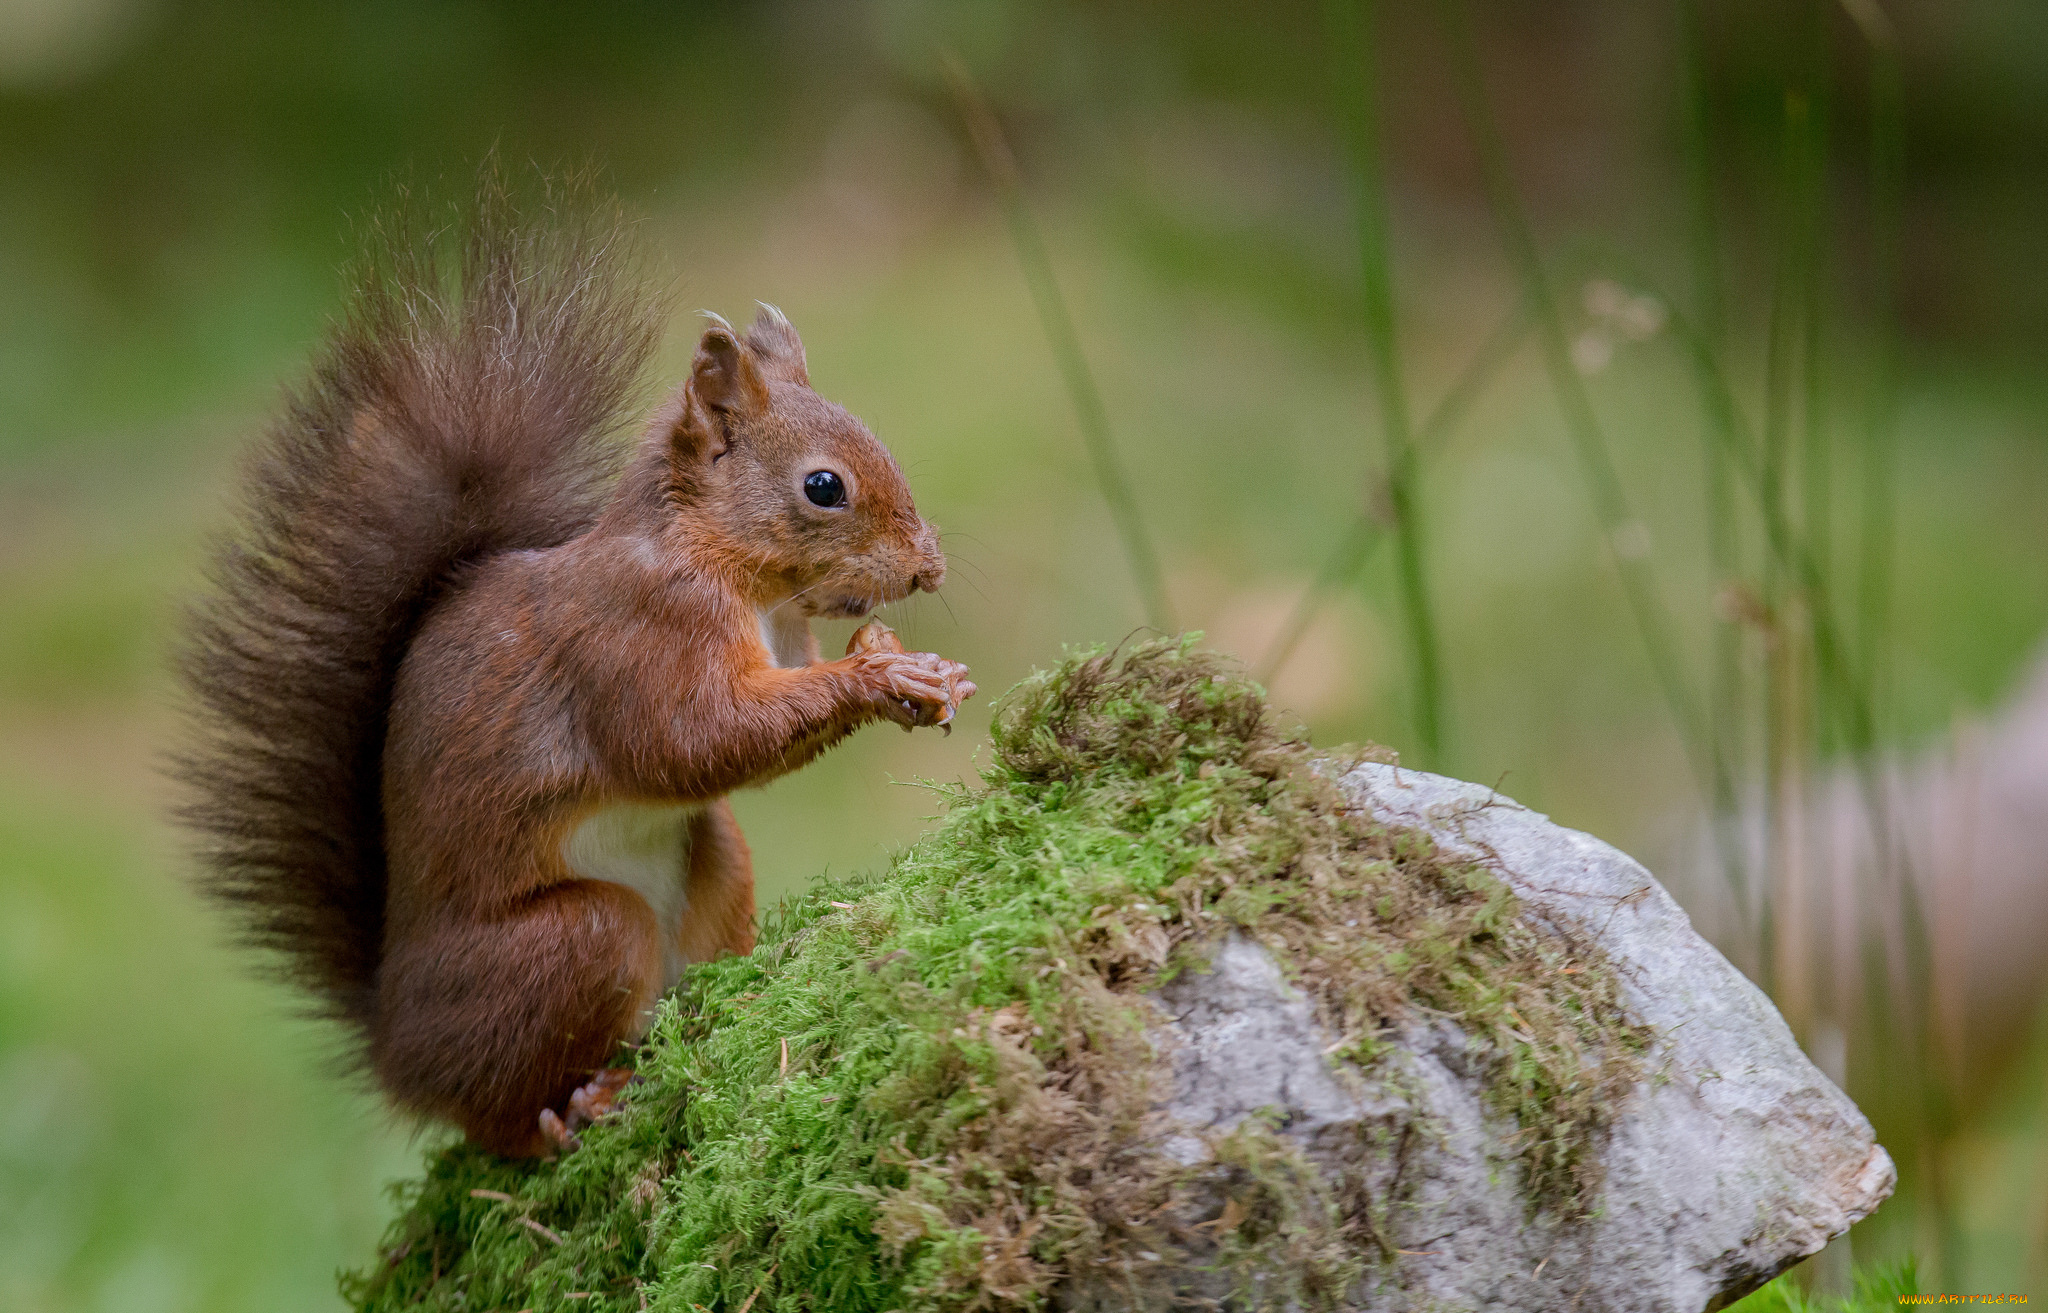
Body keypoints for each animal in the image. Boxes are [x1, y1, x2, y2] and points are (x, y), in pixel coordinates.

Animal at [176, 176, 974, 1155]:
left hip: (716, 860)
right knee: (501, 1116)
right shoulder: (635, 638)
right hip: (575, 940)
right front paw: (877, 681)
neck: (738, 576)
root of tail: (395, 1043)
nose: (928, 568)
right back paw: (575, 1109)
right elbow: (693, 740)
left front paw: (903, 664)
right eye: (824, 486)